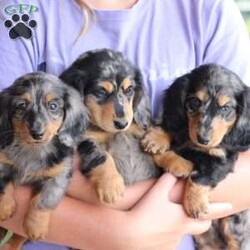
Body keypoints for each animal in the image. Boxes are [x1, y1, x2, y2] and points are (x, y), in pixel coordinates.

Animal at [0, 72, 88, 248]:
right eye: (21, 106)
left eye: (53, 106)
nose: (37, 133)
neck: (33, 150)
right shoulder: (2, 161)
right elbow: (3, 184)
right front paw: (4, 208)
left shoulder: (58, 176)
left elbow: (42, 201)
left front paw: (35, 227)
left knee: (17, 238)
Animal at [61, 48, 162, 203]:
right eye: (101, 91)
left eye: (129, 89)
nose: (122, 124)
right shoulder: (87, 140)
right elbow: (102, 156)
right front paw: (111, 185)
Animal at [142, 64, 250, 250]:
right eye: (195, 102)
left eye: (225, 108)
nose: (203, 139)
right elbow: (168, 133)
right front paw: (158, 141)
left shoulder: (221, 161)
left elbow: (200, 177)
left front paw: (195, 204)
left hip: (233, 226)